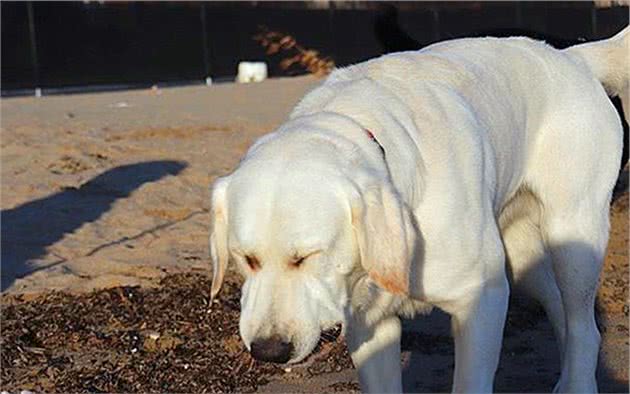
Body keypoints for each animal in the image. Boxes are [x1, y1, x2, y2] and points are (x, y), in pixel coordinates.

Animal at [210, 26, 628, 390]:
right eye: (246, 259)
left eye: (306, 257)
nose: (268, 351)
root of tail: (570, 56)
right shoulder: (369, 325)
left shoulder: (483, 301)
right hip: (523, 258)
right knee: (561, 310)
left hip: (573, 239)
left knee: (584, 326)